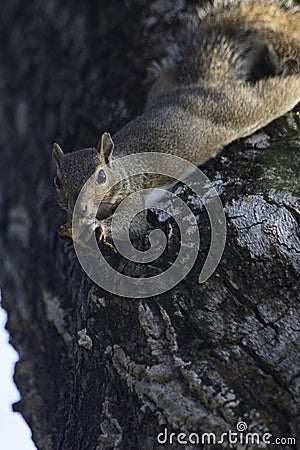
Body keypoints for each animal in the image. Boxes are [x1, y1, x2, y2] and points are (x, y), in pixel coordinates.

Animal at [52, 0, 298, 246]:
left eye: (102, 176)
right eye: (57, 181)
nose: (80, 209)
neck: (121, 169)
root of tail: (202, 84)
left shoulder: (133, 194)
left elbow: (132, 225)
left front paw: (98, 226)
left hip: (239, 109)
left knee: (274, 94)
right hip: (165, 83)